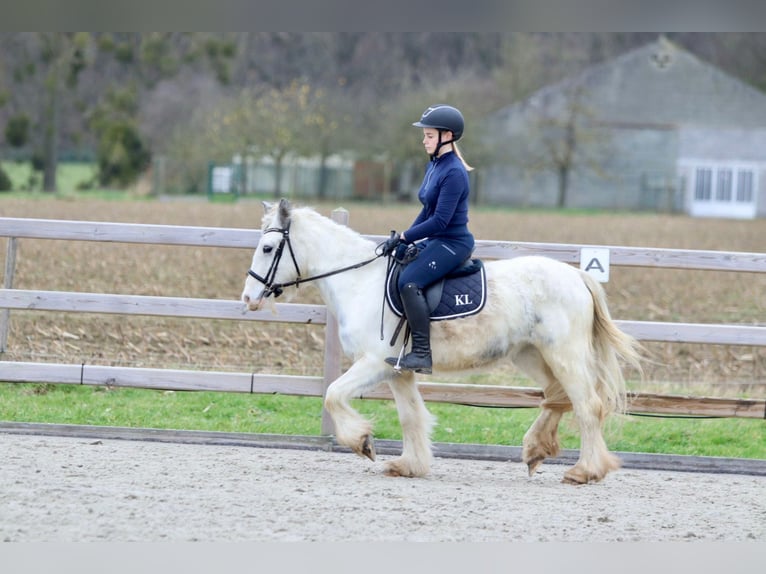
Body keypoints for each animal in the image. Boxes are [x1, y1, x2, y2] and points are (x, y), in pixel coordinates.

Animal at [243, 200, 644, 484]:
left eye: (268, 248)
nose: (248, 299)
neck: (361, 281)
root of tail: (577, 276)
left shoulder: (372, 362)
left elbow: (333, 394)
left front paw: (362, 442)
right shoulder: (397, 370)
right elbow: (410, 416)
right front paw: (410, 465)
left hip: (564, 354)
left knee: (587, 405)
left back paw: (585, 471)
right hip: (533, 355)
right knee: (557, 398)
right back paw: (535, 450)